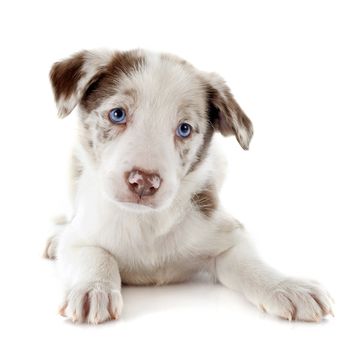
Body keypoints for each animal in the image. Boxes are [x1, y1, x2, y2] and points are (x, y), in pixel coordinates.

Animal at [44, 48, 334, 322]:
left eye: (184, 129)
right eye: (117, 114)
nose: (144, 182)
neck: (146, 223)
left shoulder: (226, 233)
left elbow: (250, 262)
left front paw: (286, 286)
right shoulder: (81, 237)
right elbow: (95, 255)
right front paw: (93, 289)